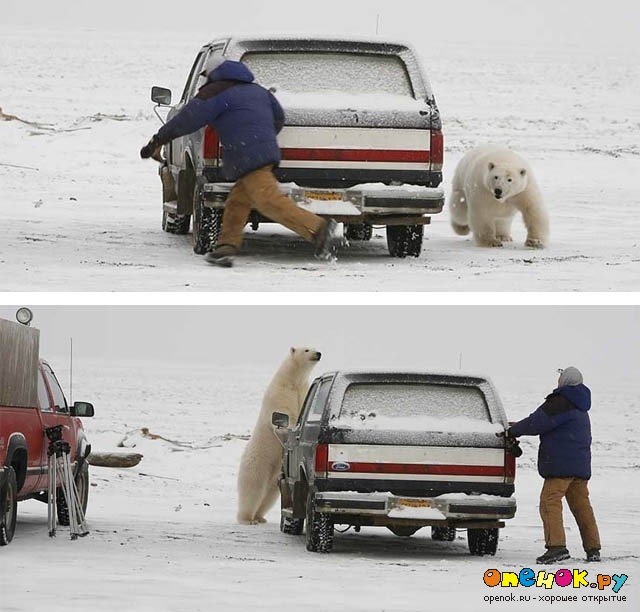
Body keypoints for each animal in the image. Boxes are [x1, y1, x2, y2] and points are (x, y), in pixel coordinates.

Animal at [236, 346, 320, 524]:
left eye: (315, 348)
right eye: (306, 349)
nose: (318, 354)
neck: (293, 380)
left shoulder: (302, 391)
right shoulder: (280, 392)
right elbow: (284, 412)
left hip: (276, 472)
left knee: (270, 494)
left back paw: (260, 517)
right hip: (258, 463)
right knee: (253, 489)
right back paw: (247, 518)